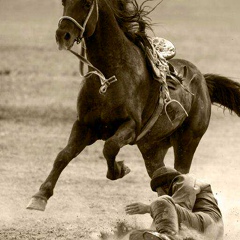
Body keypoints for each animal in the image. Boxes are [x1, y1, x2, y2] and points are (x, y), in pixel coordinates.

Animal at [26, 0, 240, 210]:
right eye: (64, 3)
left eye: (87, 4)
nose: (63, 35)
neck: (108, 78)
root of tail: (203, 81)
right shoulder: (84, 126)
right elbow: (63, 155)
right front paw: (40, 196)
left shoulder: (130, 126)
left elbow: (110, 147)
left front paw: (120, 169)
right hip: (152, 149)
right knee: (161, 177)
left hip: (187, 142)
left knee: (181, 172)